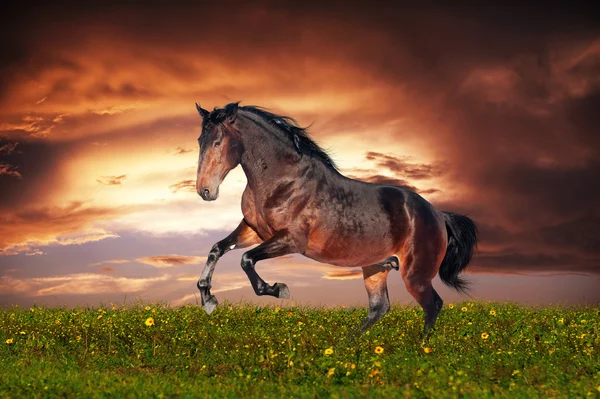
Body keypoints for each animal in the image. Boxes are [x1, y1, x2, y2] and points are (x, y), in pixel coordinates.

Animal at [195, 101, 476, 336]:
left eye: (218, 142)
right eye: (200, 140)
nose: (205, 191)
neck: (284, 181)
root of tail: (438, 214)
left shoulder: (291, 240)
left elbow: (246, 260)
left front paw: (279, 289)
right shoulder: (254, 230)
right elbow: (217, 249)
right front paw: (208, 299)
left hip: (415, 274)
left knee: (433, 305)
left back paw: (420, 346)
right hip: (376, 268)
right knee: (380, 307)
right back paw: (349, 343)